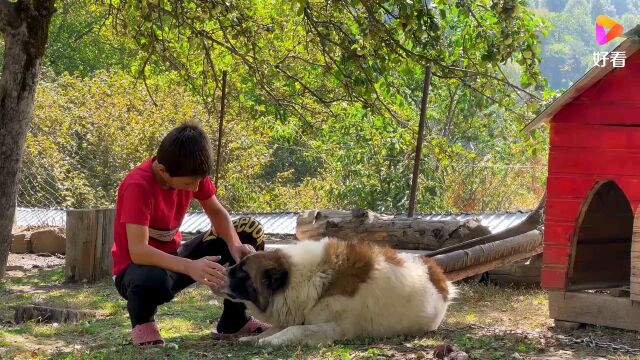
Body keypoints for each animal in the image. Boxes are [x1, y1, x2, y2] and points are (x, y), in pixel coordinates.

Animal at [225, 236, 456, 346]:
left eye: (242, 272)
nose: (222, 271)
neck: (312, 277)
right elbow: (275, 328)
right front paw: (253, 338)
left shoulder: (338, 327)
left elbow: (295, 329)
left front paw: (269, 340)